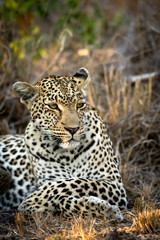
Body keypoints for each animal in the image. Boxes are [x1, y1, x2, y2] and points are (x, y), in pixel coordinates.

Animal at [0, 68, 127, 221]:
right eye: (53, 106)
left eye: (80, 105)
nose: (73, 129)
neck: (68, 155)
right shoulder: (50, 180)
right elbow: (63, 190)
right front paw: (106, 208)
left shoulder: (114, 183)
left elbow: (75, 183)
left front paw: (33, 201)